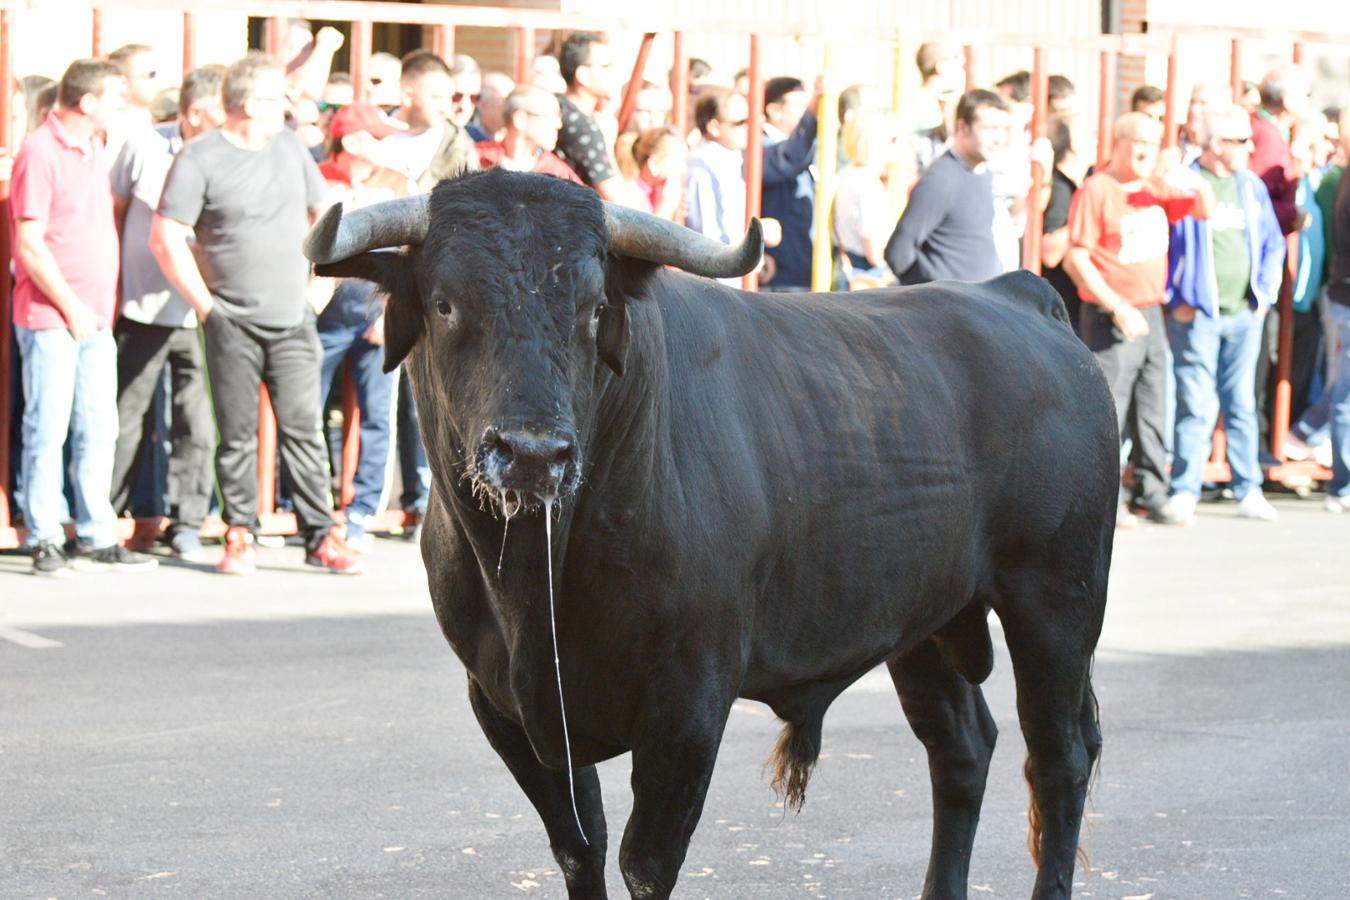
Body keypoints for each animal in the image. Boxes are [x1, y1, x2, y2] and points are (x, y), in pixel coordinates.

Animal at [306, 170, 1117, 900]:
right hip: (926, 623)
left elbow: (645, 862)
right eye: (446, 304)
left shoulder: (690, 701)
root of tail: (1015, 294)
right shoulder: (504, 707)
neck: (537, 582)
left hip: (1057, 603)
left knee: (1059, 758)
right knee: (961, 750)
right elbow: (579, 849)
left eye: (594, 308)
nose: (533, 453)